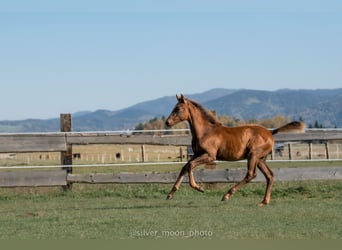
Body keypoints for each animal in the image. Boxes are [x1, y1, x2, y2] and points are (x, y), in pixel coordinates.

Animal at [166, 94, 304, 206]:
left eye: (178, 109)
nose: (167, 122)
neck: (206, 132)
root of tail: (270, 132)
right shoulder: (197, 154)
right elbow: (185, 167)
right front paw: (170, 194)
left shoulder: (210, 156)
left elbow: (190, 166)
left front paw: (199, 188)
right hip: (260, 159)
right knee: (270, 176)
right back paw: (264, 202)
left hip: (253, 156)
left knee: (251, 174)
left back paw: (227, 195)